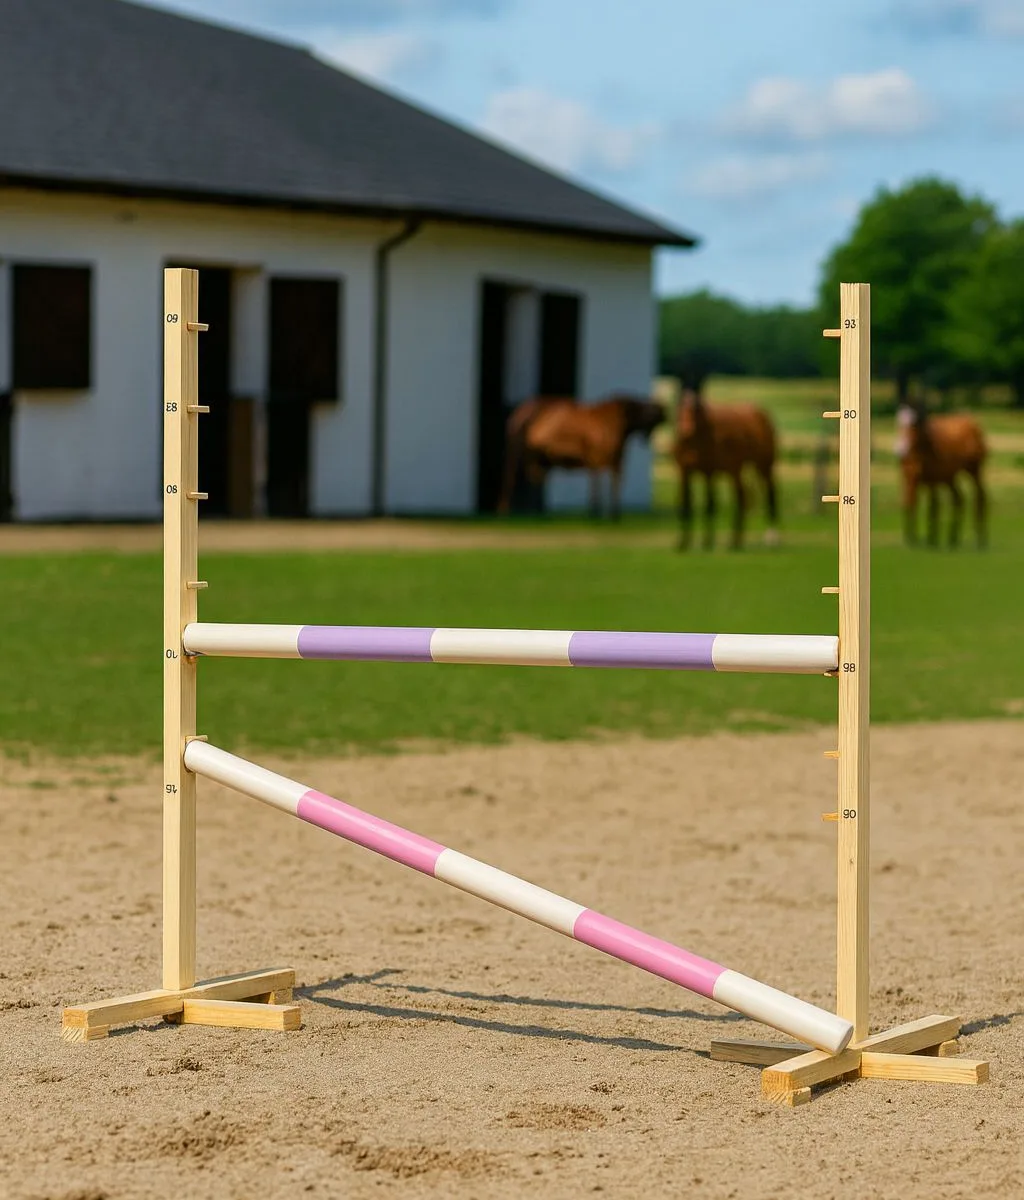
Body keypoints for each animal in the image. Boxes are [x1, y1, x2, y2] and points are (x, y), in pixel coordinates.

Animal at [496, 393, 665, 519]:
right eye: (646, 410)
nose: (661, 409)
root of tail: (519, 411)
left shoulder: (616, 462)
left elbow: (614, 484)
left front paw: (613, 514)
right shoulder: (597, 458)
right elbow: (597, 483)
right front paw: (595, 512)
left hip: (536, 457)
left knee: (535, 477)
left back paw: (537, 511)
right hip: (519, 452)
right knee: (513, 477)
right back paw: (509, 510)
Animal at [673, 388, 779, 551]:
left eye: (695, 411)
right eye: (679, 410)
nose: (686, 432)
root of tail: (762, 414)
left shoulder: (708, 472)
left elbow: (710, 505)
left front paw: (707, 542)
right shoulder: (685, 473)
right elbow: (686, 505)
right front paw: (684, 543)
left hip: (763, 466)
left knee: (770, 494)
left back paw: (771, 538)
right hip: (736, 470)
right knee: (742, 497)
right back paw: (736, 541)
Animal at [896, 402, 988, 548]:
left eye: (914, 424)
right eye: (898, 422)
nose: (900, 449)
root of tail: (974, 425)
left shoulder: (932, 482)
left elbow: (933, 507)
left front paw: (931, 540)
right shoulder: (909, 479)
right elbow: (909, 503)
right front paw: (910, 538)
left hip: (974, 471)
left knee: (980, 497)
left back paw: (980, 540)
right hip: (951, 478)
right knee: (959, 499)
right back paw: (953, 539)